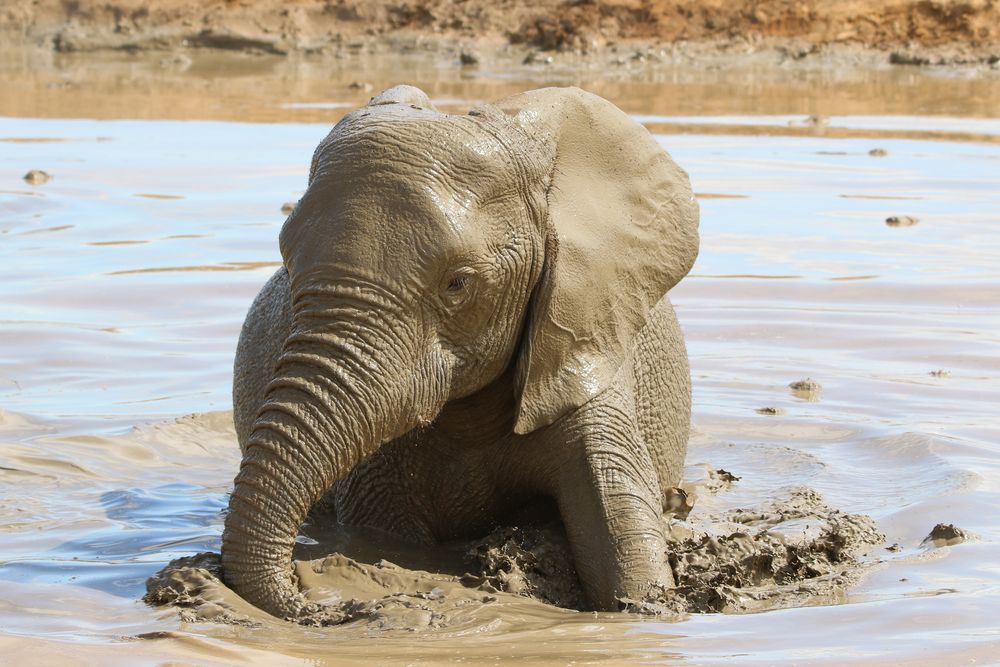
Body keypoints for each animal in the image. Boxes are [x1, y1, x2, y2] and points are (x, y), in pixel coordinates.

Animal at [223, 83, 700, 620]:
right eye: (287, 264)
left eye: (458, 284)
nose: (311, 600)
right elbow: (382, 531)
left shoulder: (585, 330)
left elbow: (621, 522)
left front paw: (646, 606)